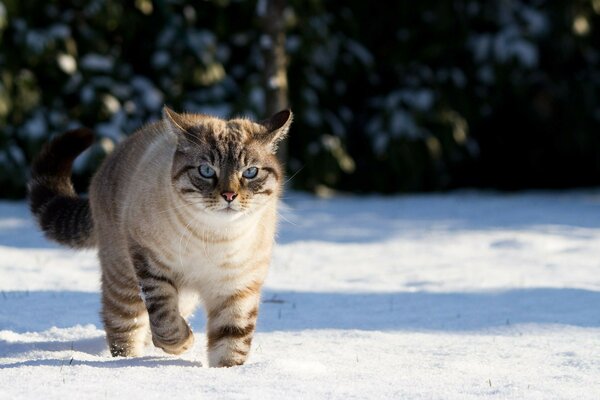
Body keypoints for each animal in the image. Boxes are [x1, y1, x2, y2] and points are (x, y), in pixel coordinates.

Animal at [29, 105, 292, 366]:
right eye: (206, 171)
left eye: (250, 172)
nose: (229, 195)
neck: (215, 238)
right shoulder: (151, 264)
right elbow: (165, 321)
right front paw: (183, 343)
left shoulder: (237, 288)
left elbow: (231, 342)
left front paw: (226, 372)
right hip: (124, 283)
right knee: (122, 327)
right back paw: (128, 363)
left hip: (183, 296)